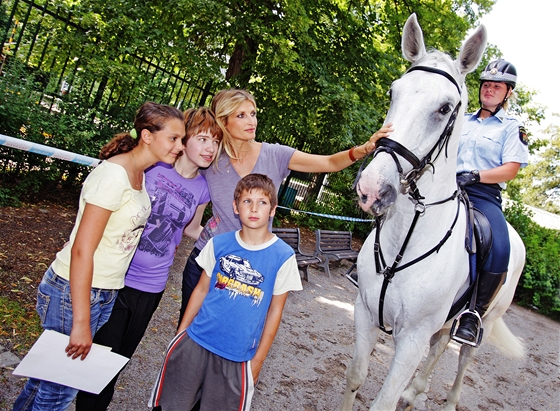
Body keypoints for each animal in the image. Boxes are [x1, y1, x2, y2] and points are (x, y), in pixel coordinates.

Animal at [340, 13, 528, 411]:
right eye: (393, 92)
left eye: (444, 108)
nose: (372, 188)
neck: (404, 242)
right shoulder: (364, 313)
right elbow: (355, 376)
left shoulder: (411, 340)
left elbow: (384, 401)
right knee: (441, 345)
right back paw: (417, 391)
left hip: (487, 319)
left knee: (461, 356)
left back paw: (446, 397)